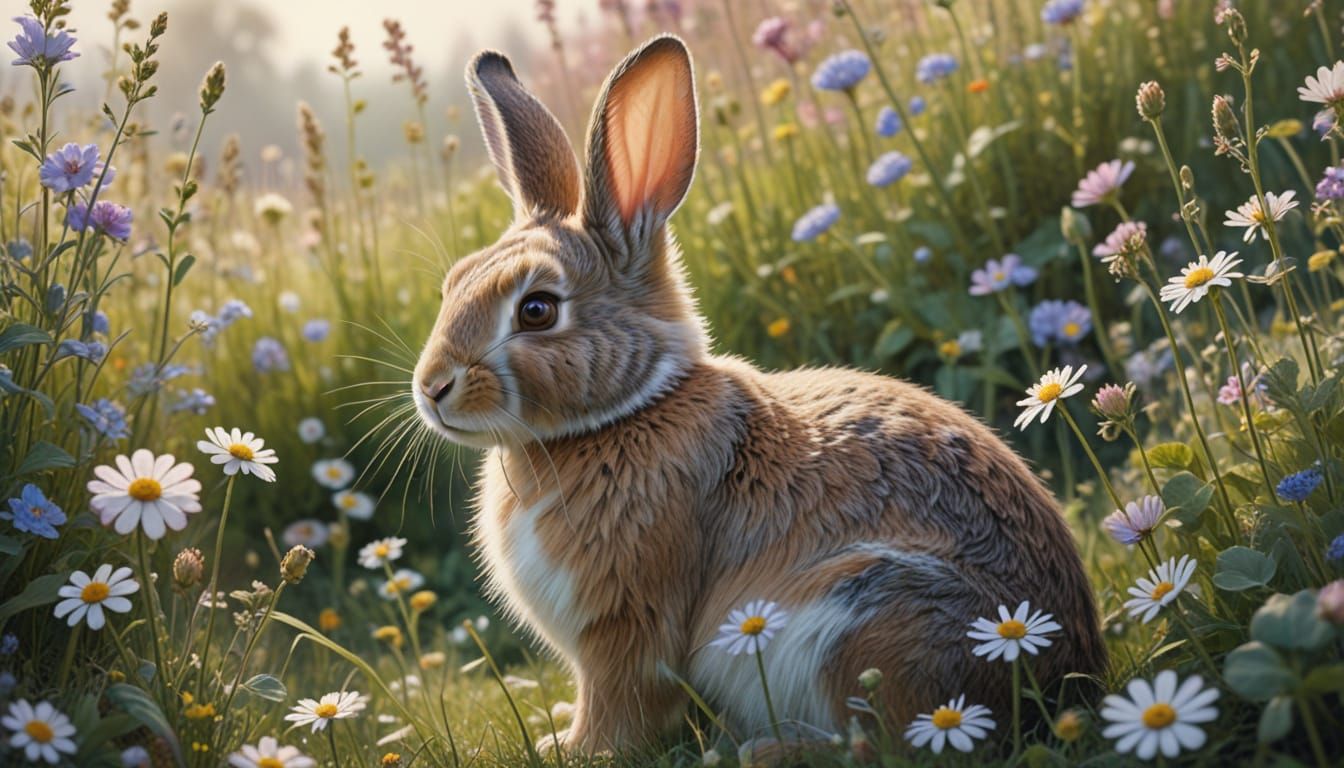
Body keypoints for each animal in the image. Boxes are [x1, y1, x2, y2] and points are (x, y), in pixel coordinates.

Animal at [412, 34, 1106, 755]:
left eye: (538, 310)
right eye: (456, 281)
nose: (431, 388)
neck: (626, 414)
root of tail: (1065, 677)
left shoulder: (628, 622)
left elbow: (622, 703)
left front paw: (574, 750)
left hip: (867, 618)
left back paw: (767, 750)